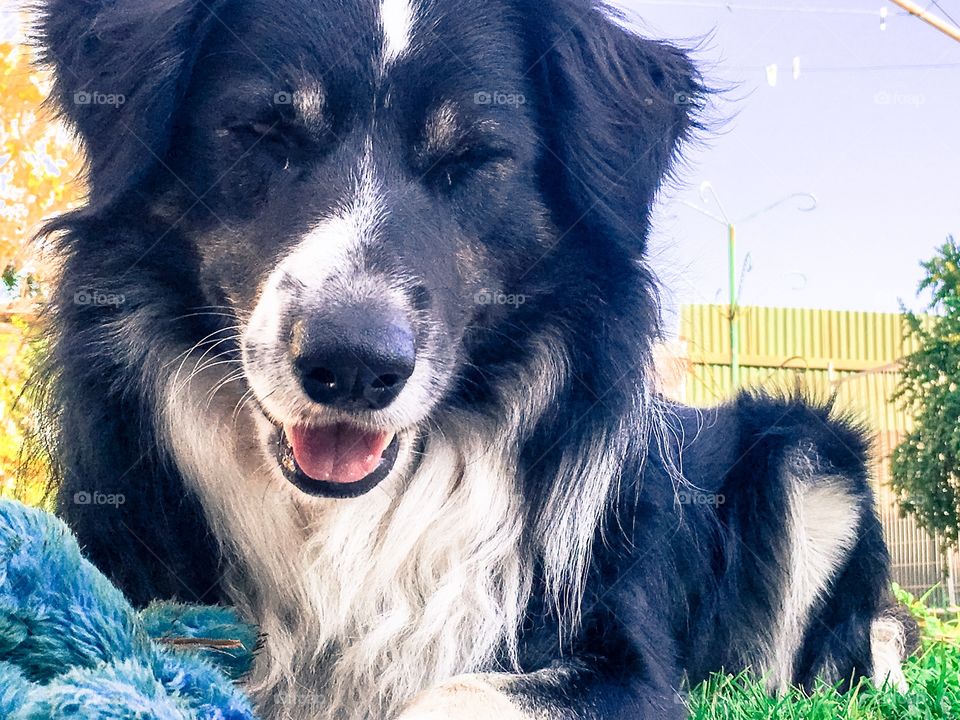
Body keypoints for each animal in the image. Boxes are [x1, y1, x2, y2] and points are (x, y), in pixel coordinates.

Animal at [35, 1, 908, 720]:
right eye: (264, 134)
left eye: (474, 158)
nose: (353, 365)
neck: (351, 521)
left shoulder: (626, 662)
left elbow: (460, 691)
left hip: (808, 456)